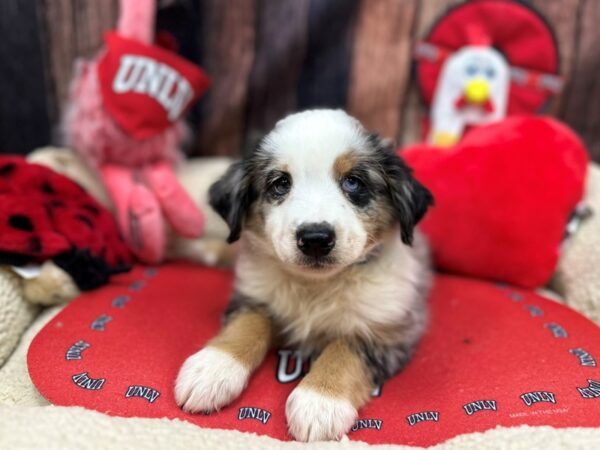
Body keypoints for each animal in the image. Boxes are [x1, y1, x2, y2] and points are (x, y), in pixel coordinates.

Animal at [173, 110, 432, 442]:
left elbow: (344, 351)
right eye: (281, 183)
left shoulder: (388, 328)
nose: (316, 238)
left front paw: (319, 402)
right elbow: (245, 325)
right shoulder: (253, 295)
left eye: (353, 182)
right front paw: (212, 368)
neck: (315, 287)